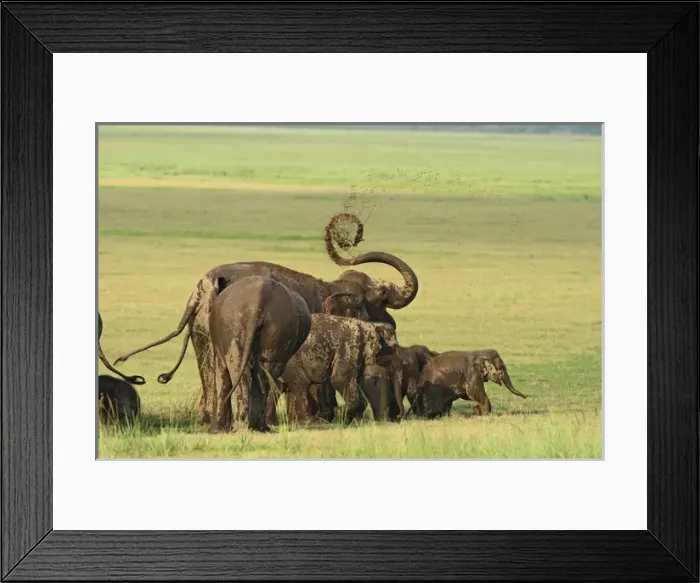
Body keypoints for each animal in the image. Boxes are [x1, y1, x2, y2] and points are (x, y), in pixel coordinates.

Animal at [208, 275, 312, 433]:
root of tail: (257, 304)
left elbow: (222, 372)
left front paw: (217, 430)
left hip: (238, 327)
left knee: (240, 369)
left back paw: (244, 426)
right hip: (278, 327)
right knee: (264, 372)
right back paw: (257, 427)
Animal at [270, 314, 399, 426]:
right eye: (394, 347)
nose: (396, 418)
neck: (369, 324)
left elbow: (363, 381)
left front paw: (344, 419)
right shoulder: (349, 347)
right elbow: (339, 379)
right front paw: (339, 414)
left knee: (278, 387)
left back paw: (279, 423)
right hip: (290, 360)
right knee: (300, 384)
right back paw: (309, 422)